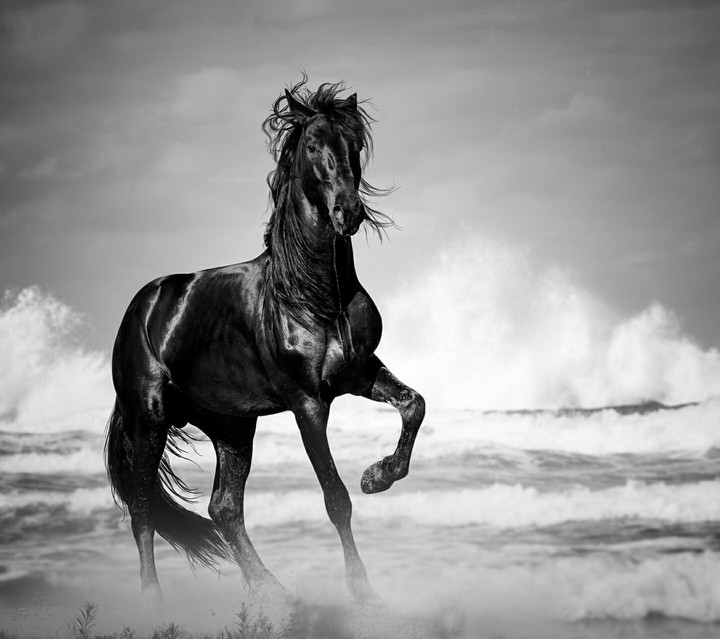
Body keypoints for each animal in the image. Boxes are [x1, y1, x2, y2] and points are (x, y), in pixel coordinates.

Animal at [105, 78, 426, 603]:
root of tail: (142, 307)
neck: (313, 295)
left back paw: (273, 593)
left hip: (232, 428)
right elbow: (335, 499)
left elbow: (414, 405)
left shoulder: (361, 374)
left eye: (355, 145)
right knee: (143, 512)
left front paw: (377, 476)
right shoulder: (307, 402)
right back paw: (154, 600)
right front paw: (363, 592)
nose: (349, 211)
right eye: (312, 146)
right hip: (148, 419)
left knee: (223, 508)